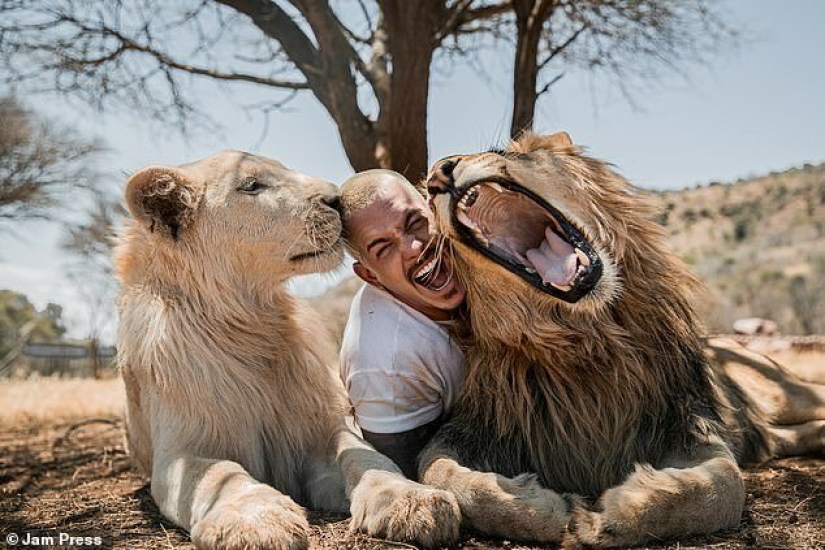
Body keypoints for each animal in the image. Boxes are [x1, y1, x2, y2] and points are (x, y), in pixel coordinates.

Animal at [114, 151, 460, 550]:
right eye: (252, 185)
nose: (336, 199)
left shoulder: (321, 430)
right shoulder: (180, 453)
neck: (251, 322)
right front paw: (256, 522)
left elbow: (367, 459)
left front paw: (408, 499)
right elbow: (221, 475)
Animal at [418, 132, 825, 548]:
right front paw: (537, 507)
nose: (437, 176)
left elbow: (722, 489)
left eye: (499, 152)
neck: (585, 340)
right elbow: (438, 471)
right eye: (429, 197)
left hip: (785, 394)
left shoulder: (691, 425)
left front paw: (612, 515)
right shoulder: (472, 427)